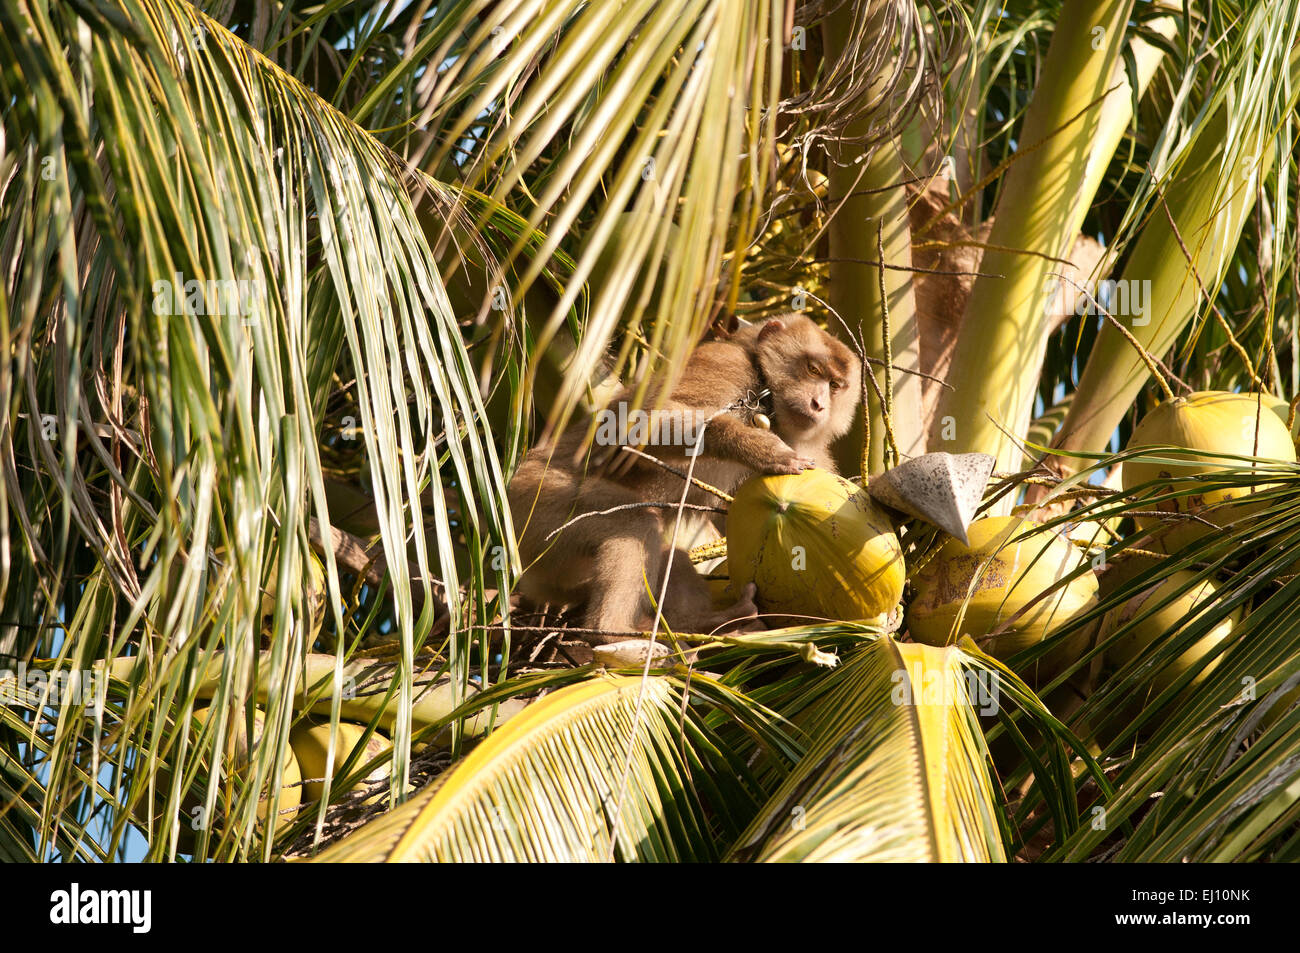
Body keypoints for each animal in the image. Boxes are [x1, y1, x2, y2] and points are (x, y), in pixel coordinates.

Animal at [506, 314, 863, 639]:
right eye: (813, 370)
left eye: (835, 386)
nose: (818, 405)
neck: (768, 399)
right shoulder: (723, 364)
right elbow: (638, 423)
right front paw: (762, 448)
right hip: (537, 505)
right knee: (636, 521)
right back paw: (612, 632)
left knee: (669, 554)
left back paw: (705, 623)